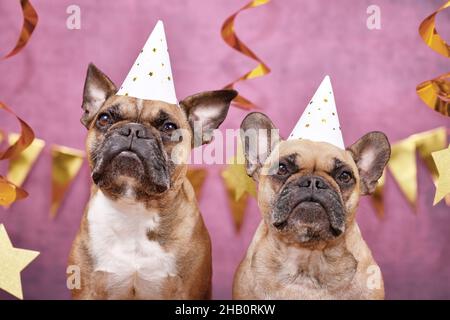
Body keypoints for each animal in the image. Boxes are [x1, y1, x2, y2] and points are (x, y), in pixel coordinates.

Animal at [69, 63, 237, 300]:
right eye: (104, 119)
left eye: (169, 127)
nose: (133, 130)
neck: (135, 206)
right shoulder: (87, 290)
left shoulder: (186, 292)